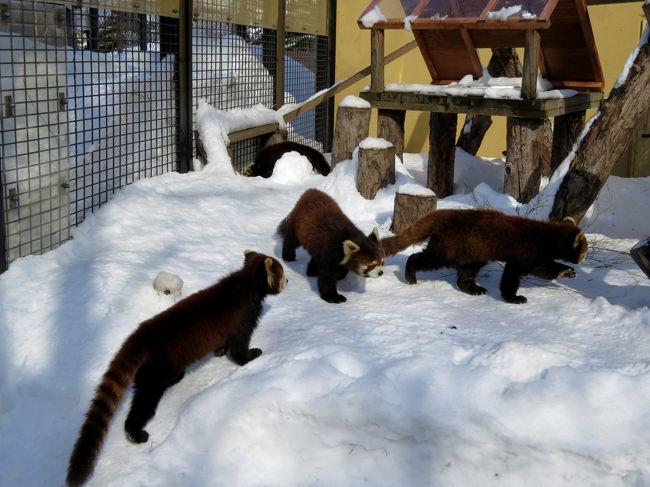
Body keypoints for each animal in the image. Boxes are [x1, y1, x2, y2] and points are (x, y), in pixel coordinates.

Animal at [380, 209, 588, 304]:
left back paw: (474, 288)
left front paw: (567, 272)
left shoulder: (537, 257)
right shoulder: (524, 253)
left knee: (466, 272)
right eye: (585, 251)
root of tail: (443, 213)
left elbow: (545, 269)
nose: (584, 258)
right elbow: (511, 276)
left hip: (473, 253)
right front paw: (514, 298)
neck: (548, 237)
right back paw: (410, 275)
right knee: (426, 258)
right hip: (449, 247)